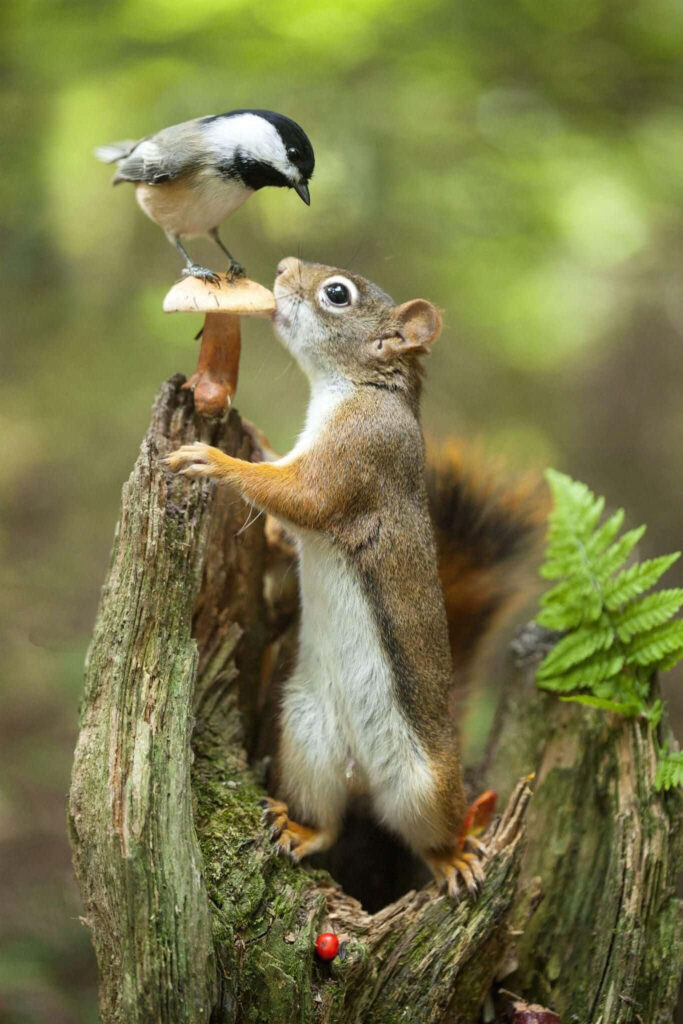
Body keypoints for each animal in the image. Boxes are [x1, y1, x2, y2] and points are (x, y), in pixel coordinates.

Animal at [165, 256, 544, 900]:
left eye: (336, 295)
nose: (283, 267)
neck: (356, 388)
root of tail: (362, 774)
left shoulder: (359, 457)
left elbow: (298, 496)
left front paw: (214, 460)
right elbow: (285, 516)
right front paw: (256, 441)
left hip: (426, 783)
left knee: (431, 833)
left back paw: (453, 859)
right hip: (306, 738)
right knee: (329, 821)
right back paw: (299, 829)